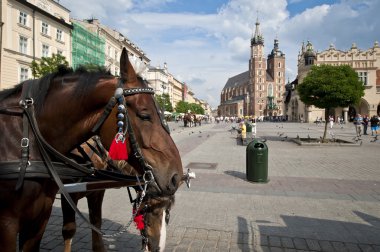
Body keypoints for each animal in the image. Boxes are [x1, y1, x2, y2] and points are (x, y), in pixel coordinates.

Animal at [0, 48, 183, 251]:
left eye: (168, 213)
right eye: (144, 115)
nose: (175, 176)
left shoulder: (74, 201)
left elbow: (96, 227)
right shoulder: (10, 222)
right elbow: (69, 229)